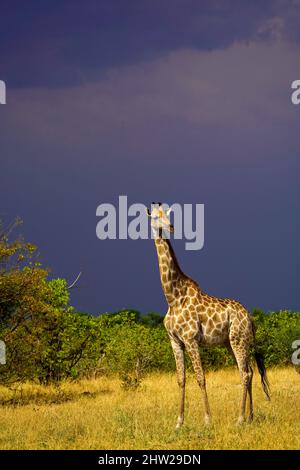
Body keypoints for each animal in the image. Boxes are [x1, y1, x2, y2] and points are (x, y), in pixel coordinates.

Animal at [146, 204, 270, 428]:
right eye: (155, 217)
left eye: (167, 215)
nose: (171, 227)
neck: (172, 297)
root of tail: (250, 318)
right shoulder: (174, 341)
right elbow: (181, 379)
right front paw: (179, 422)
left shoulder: (191, 339)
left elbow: (200, 378)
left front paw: (207, 420)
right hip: (232, 343)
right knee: (248, 372)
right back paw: (250, 417)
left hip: (239, 340)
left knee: (246, 373)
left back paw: (240, 419)